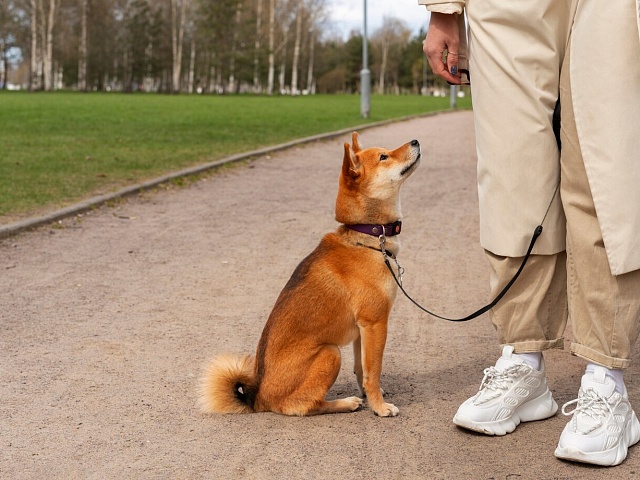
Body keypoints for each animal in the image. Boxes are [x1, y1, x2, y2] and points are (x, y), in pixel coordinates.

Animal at [200, 131, 420, 416]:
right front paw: (379, 406)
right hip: (330, 352)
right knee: (304, 405)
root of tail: (258, 399)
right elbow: (373, 372)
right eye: (384, 156)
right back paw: (345, 403)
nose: (415, 141)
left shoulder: (362, 330)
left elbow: (362, 369)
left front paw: (372, 396)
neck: (367, 238)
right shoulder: (375, 323)